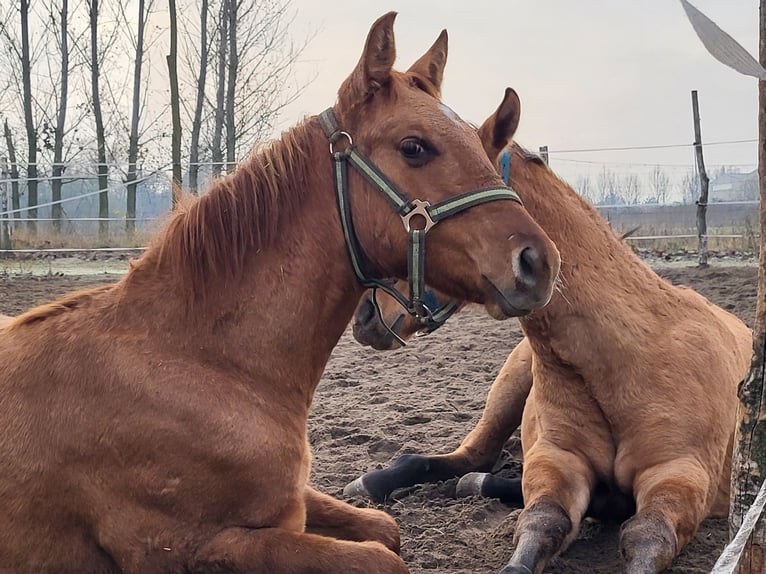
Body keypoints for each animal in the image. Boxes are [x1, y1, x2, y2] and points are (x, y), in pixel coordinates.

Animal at [0, 13, 561, 574]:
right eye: (414, 146)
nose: (540, 262)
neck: (202, 365)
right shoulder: (189, 548)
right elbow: (383, 557)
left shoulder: (291, 504)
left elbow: (386, 527)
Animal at [346, 105, 752, 574]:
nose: (366, 314)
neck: (627, 357)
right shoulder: (557, 458)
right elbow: (542, 520)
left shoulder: (678, 472)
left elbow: (648, 535)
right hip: (507, 388)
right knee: (469, 458)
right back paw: (378, 481)